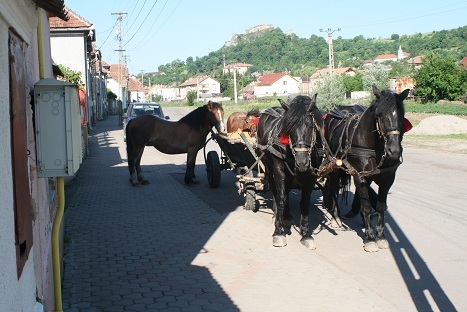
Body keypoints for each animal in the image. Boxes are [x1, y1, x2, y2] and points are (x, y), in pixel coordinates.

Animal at [256, 94, 326, 249]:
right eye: (288, 128)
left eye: (310, 126)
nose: (301, 162)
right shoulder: (279, 171)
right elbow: (281, 198)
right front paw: (278, 232)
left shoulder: (311, 177)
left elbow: (304, 202)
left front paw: (306, 235)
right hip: (269, 168)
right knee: (277, 192)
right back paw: (277, 215)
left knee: (287, 191)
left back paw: (287, 217)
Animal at [322, 86, 410, 252]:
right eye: (379, 115)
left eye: (402, 115)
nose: (394, 151)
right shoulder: (360, 176)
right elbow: (367, 207)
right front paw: (369, 238)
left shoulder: (387, 178)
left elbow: (380, 206)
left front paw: (380, 236)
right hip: (334, 166)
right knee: (334, 188)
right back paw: (336, 216)